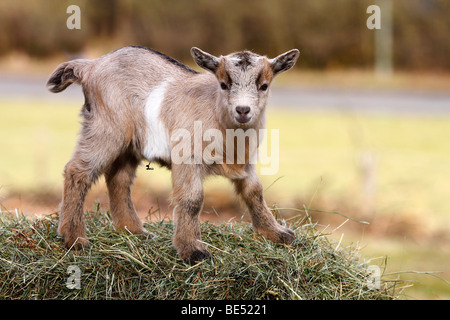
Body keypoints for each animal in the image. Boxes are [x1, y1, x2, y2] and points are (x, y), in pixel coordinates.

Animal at [46, 46, 298, 264]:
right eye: (224, 84)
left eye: (264, 85)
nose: (243, 110)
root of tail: (91, 65)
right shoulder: (187, 156)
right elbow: (192, 199)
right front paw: (193, 250)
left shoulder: (243, 162)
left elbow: (254, 192)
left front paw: (277, 233)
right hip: (106, 128)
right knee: (78, 171)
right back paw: (75, 239)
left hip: (131, 144)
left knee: (118, 179)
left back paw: (134, 230)